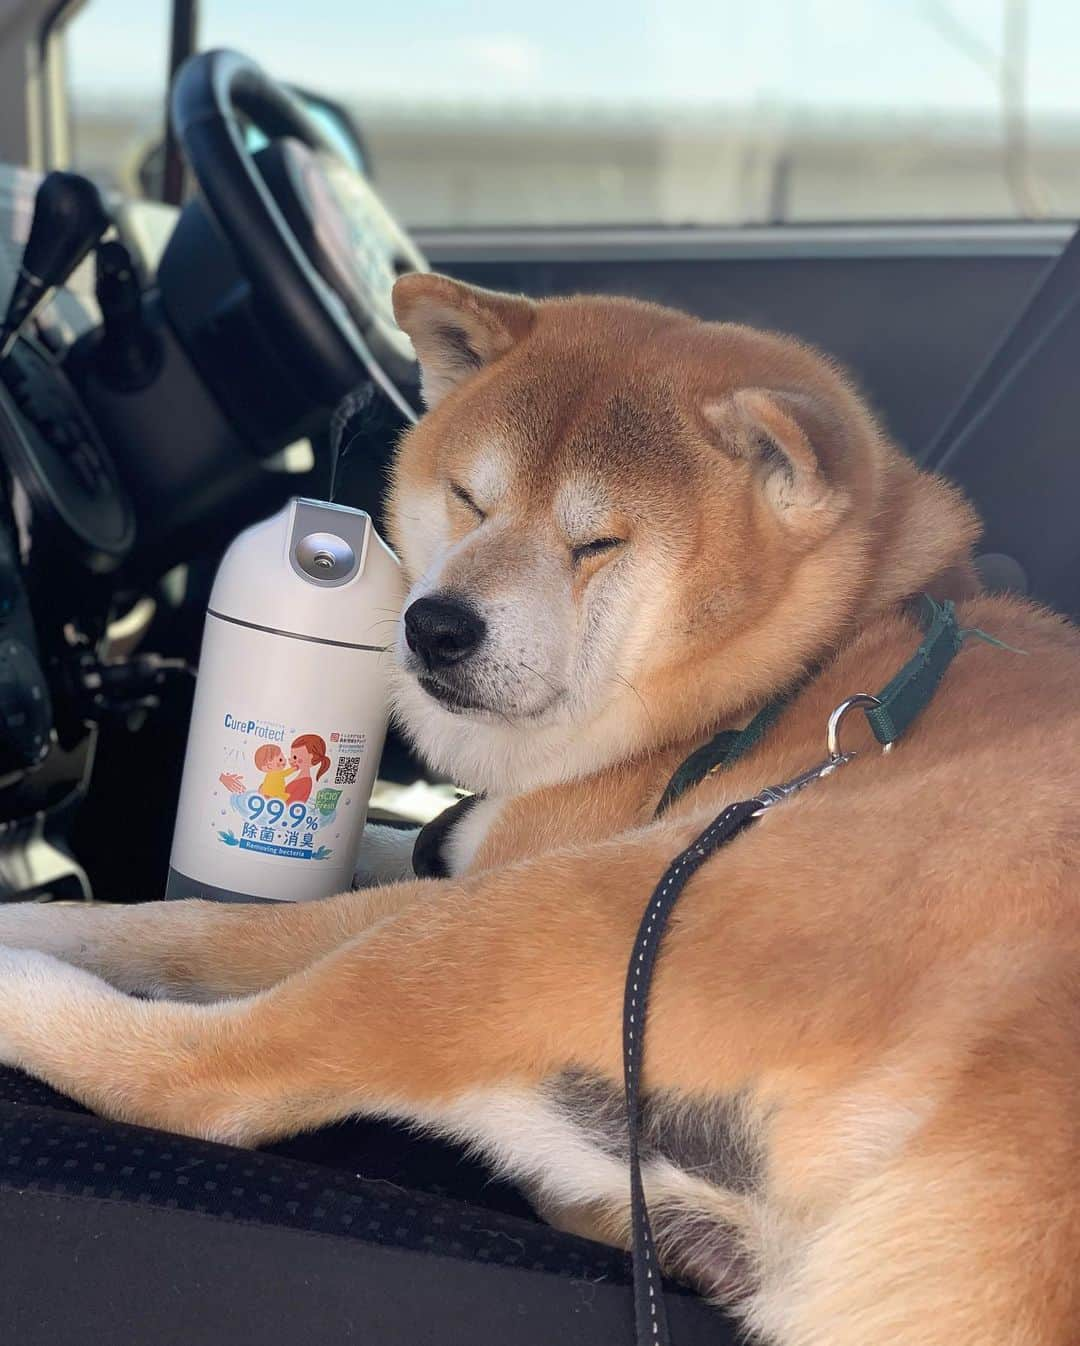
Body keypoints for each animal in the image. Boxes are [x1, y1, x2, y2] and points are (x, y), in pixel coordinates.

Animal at [2, 275, 1077, 1346]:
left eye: (596, 543)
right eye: (470, 500)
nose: (434, 626)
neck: (796, 677)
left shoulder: (505, 871)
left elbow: (195, 925)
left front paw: (59, 916)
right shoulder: (468, 843)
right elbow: (395, 838)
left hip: (589, 910)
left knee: (203, 1081)